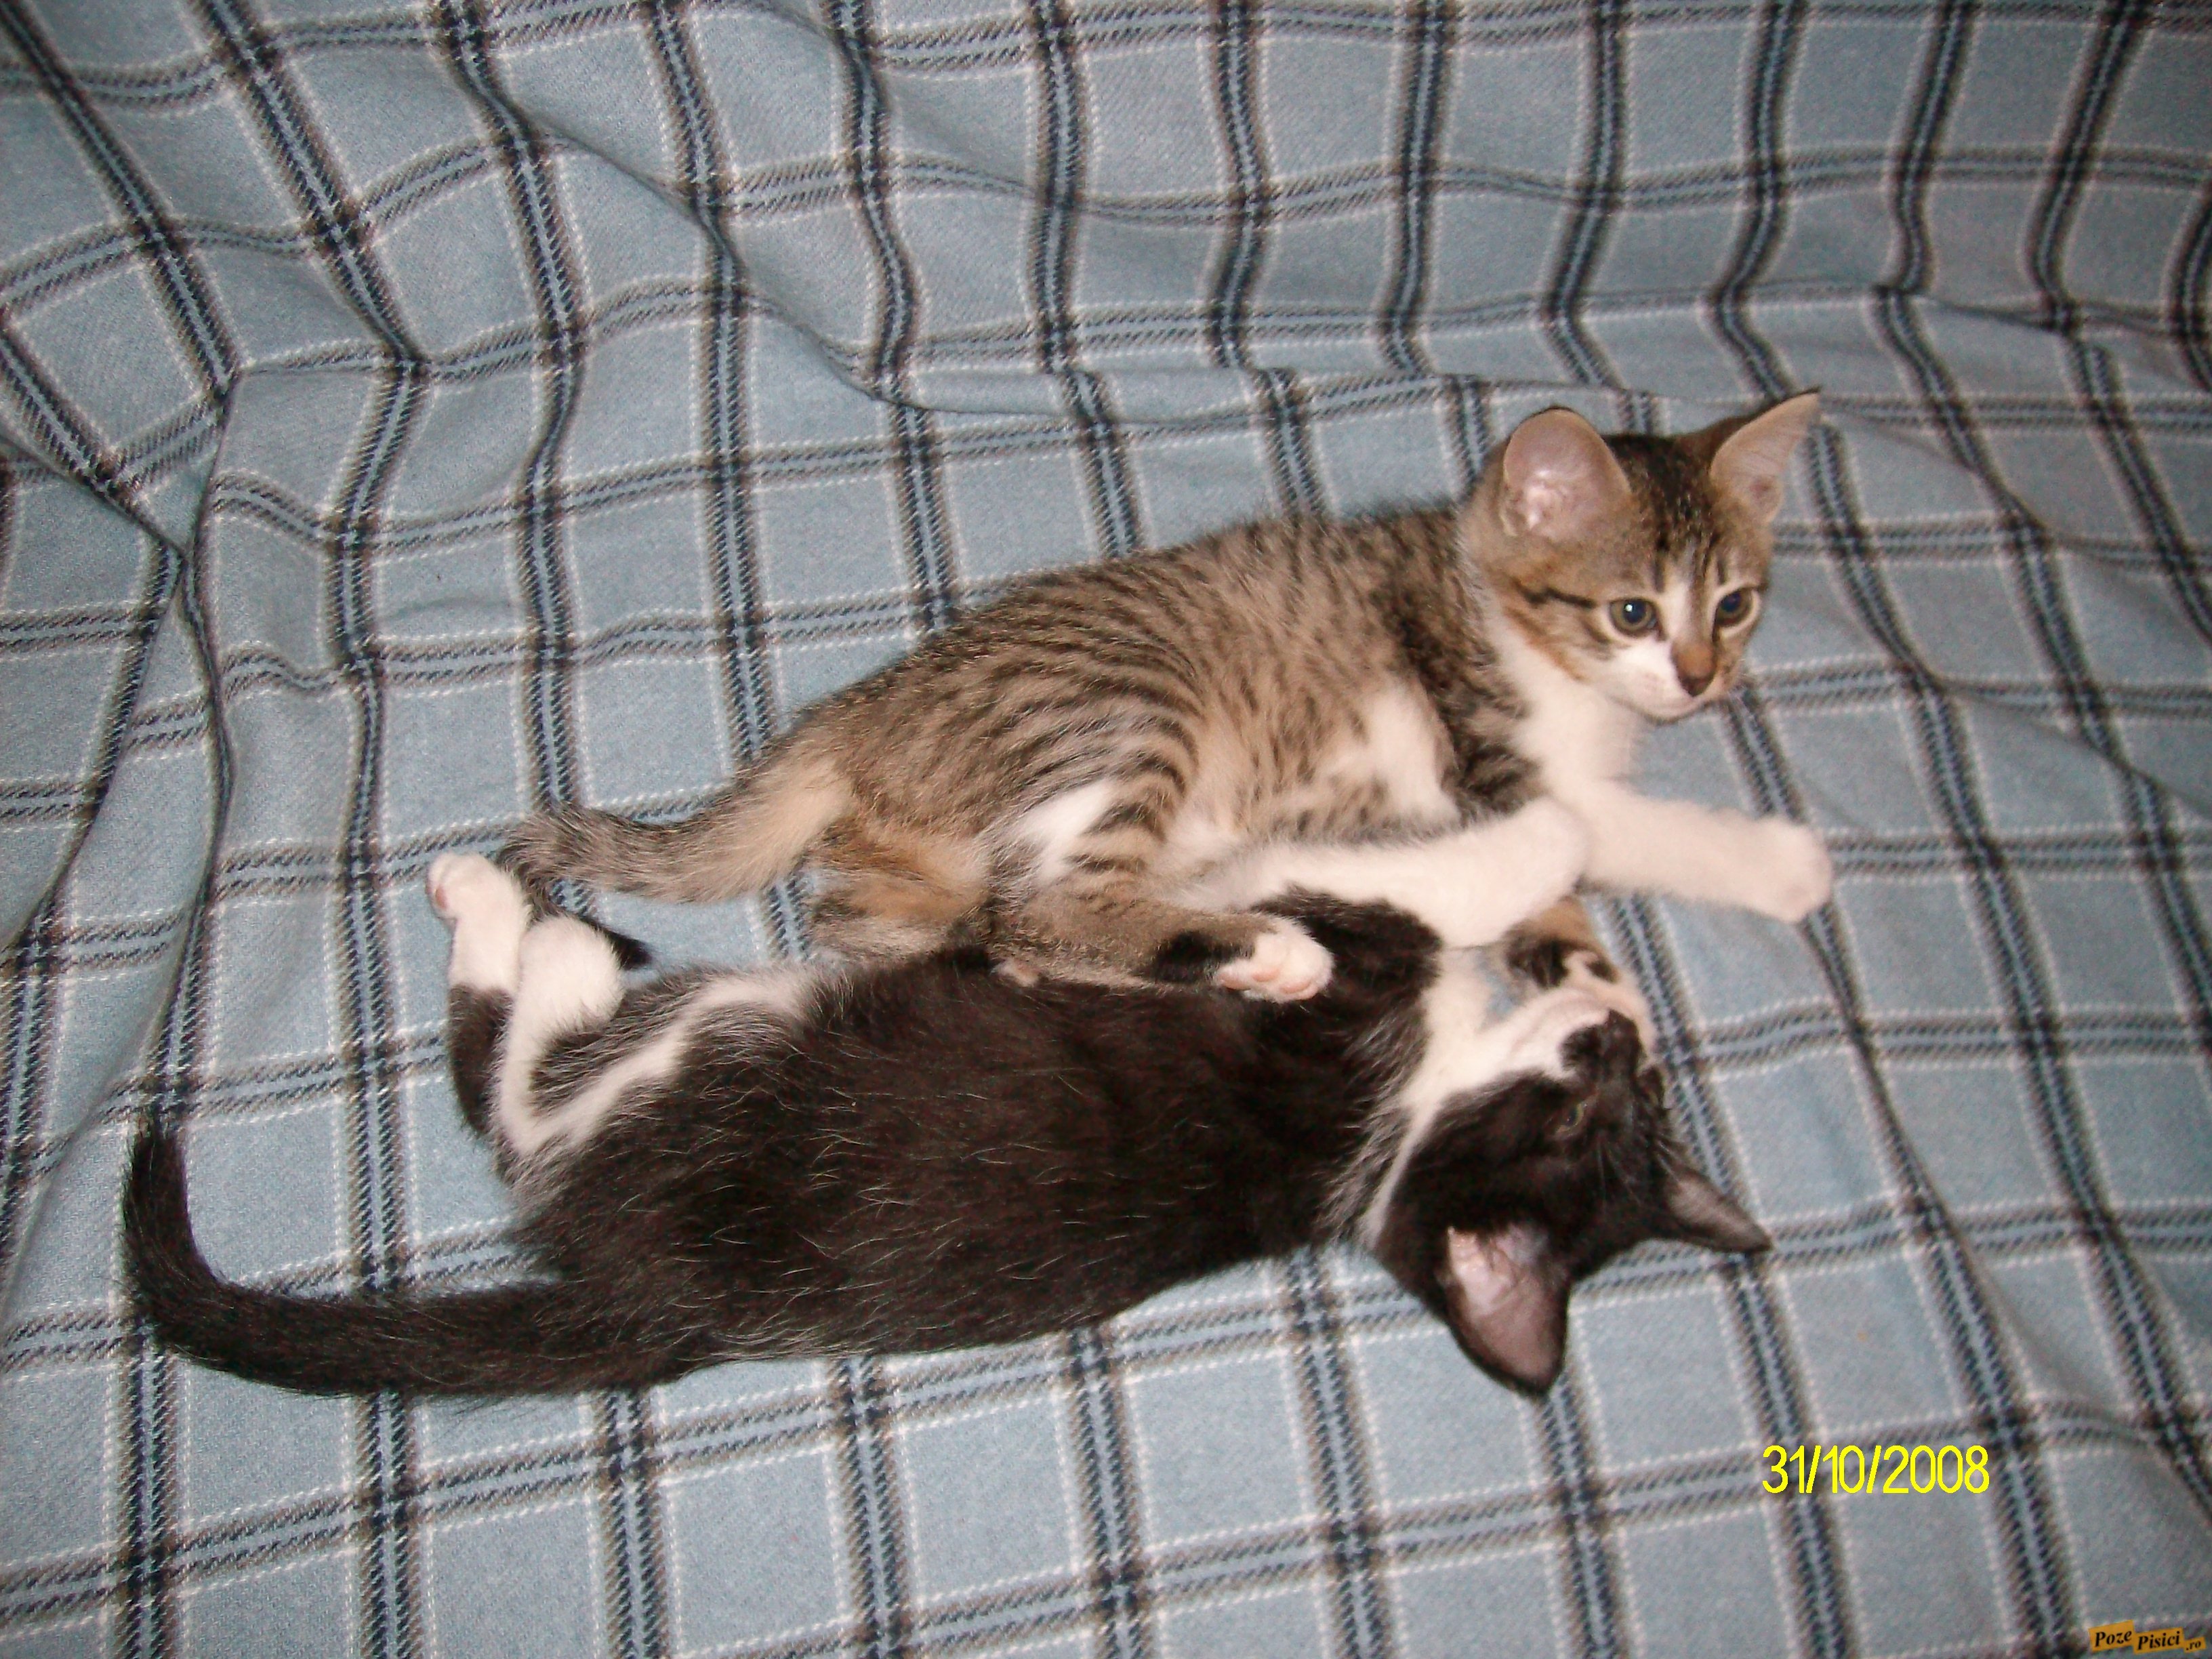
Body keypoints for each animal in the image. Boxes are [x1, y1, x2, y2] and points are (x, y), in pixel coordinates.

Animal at [124, 800, 1771, 1398]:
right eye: (1618, 1120)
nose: (1613, 1039)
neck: (1392, 1132)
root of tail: (644, 1288)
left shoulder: (1349, 950)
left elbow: (1431, 886)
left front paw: (1551, 826)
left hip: (705, 1060)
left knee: (516, 1073)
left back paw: (515, 918)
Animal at [501, 393, 1829, 1026]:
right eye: (1630, 612)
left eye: (1734, 603)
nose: (1700, 677)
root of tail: (864, 707)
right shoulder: (1495, 753)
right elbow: (1610, 827)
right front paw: (1775, 864)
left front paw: (1581, 980)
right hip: (1127, 714)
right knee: (1046, 905)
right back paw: (1260, 950)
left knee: (903, 922)